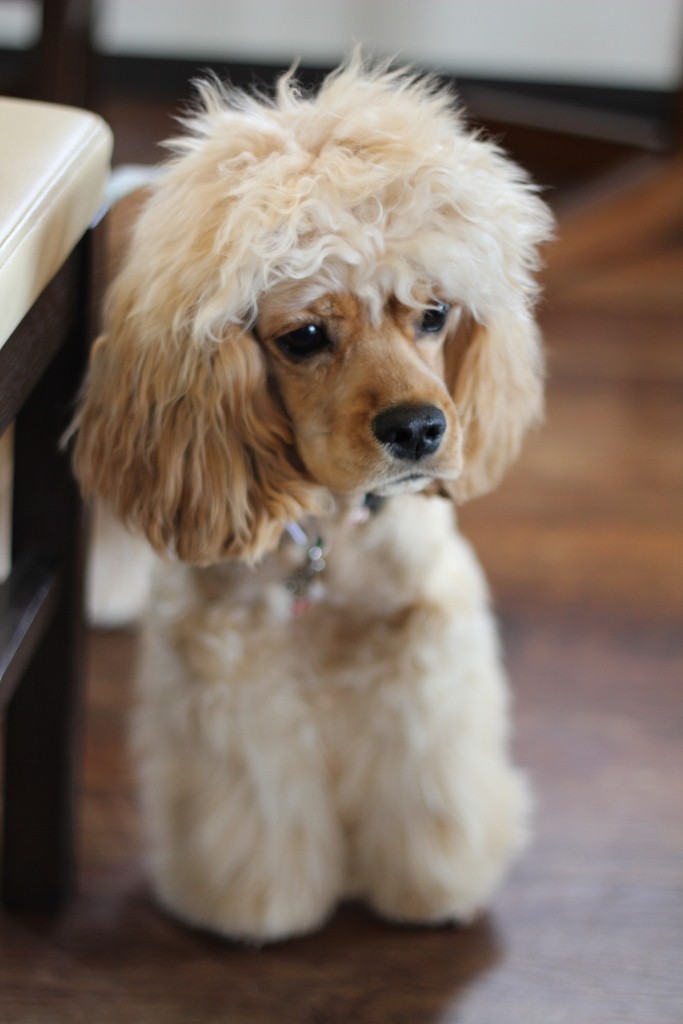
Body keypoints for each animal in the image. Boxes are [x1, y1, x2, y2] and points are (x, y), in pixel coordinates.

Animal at [68, 55, 553, 943]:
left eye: (434, 314)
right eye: (303, 337)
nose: (420, 428)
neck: (332, 530)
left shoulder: (421, 634)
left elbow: (428, 782)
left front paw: (432, 887)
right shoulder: (231, 658)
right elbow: (258, 806)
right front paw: (255, 907)